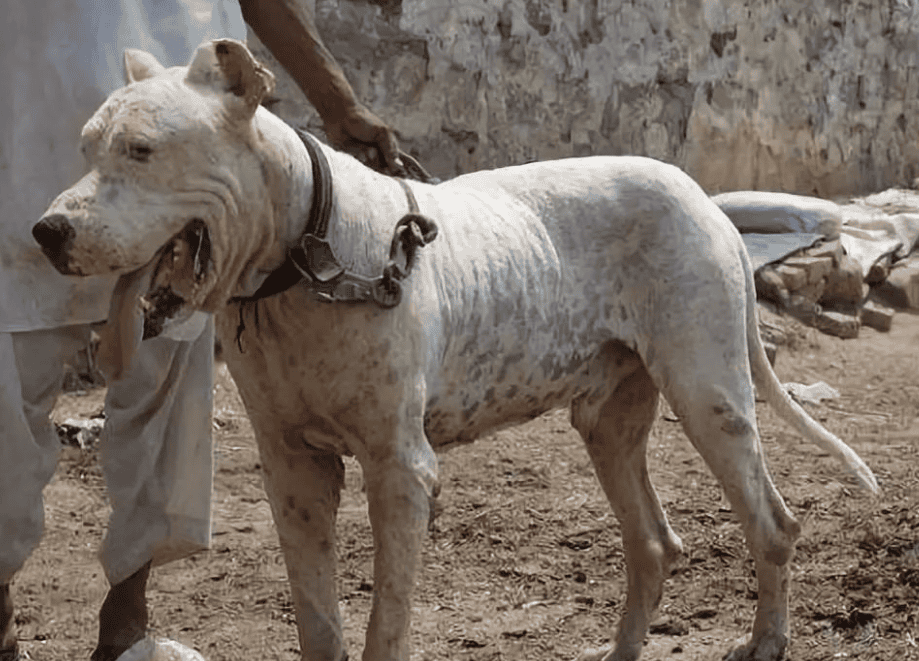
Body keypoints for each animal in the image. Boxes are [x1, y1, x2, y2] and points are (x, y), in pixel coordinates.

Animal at [36, 40, 880, 660]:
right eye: (86, 148)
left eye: (142, 149)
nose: (47, 230)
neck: (306, 255)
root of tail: (701, 195)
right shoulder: (293, 469)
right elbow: (318, 619)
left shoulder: (399, 470)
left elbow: (384, 626)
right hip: (608, 422)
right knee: (652, 542)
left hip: (708, 397)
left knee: (772, 525)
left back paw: (765, 640)